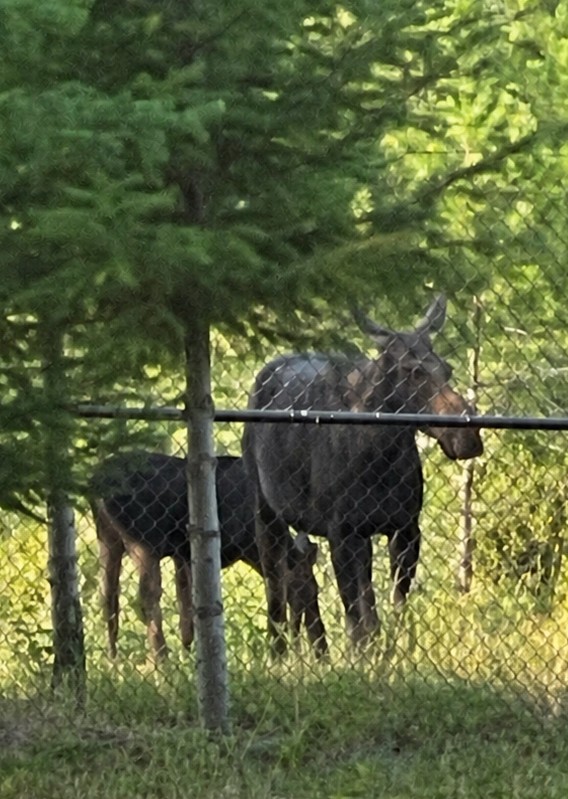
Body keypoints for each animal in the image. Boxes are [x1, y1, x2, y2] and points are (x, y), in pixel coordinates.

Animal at [90, 452, 328, 659]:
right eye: (310, 589)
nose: (322, 650)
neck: (249, 546)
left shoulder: (182, 555)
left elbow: (186, 611)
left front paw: (188, 656)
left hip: (108, 538)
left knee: (108, 595)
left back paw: (113, 659)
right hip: (144, 542)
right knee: (147, 596)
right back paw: (161, 659)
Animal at [242, 295, 484, 653]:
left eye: (447, 368)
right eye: (412, 371)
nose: (467, 437)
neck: (379, 455)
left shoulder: (404, 528)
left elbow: (391, 611)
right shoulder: (341, 531)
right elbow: (358, 619)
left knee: (304, 582)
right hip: (266, 511)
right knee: (276, 589)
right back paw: (279, 653)